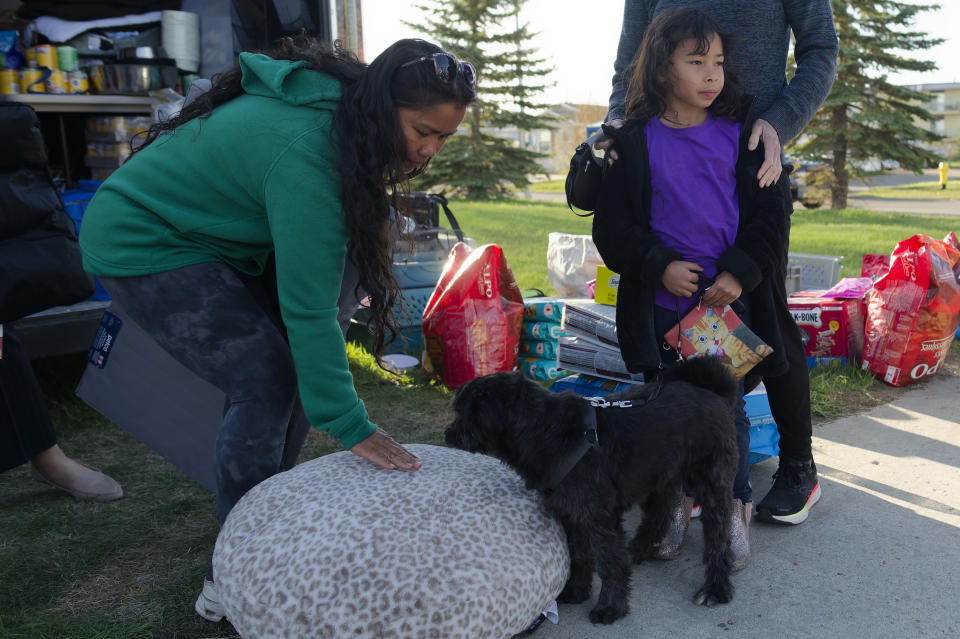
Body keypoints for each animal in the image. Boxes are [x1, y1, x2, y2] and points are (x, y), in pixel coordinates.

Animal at [446, 358, 740, 628]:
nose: (449, 435)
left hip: (711, 482)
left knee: (717, 535)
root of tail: (711, 390)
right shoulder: (572, 513)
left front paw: (610, 606)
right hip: (658, 474)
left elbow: (609, 562)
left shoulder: (599, 517)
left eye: (463, 412)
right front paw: (577, 589)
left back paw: (715, 587)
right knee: (659, 514)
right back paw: (639, 549)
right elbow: (579, 554)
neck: (545, 430)